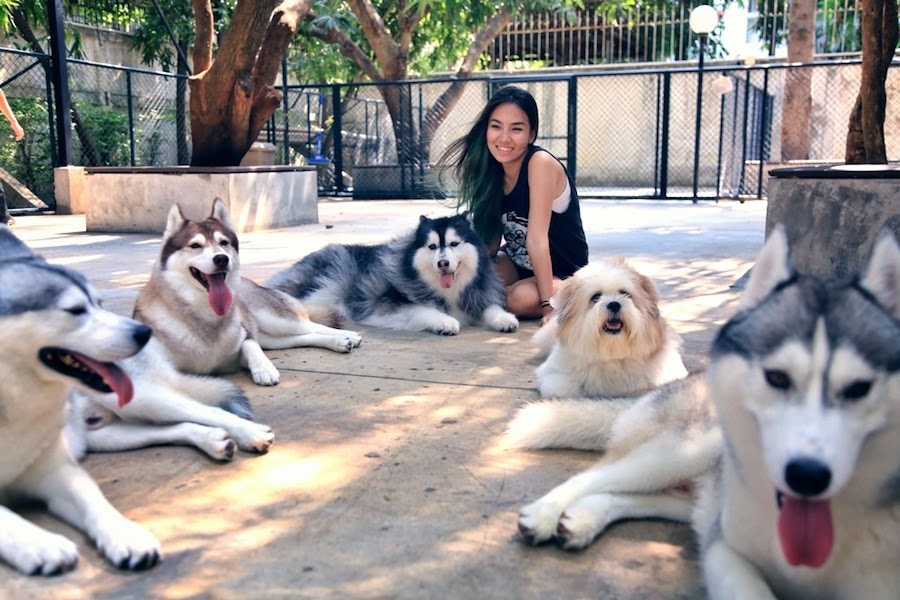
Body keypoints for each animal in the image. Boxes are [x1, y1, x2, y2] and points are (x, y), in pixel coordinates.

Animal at [0, 225, 161, 575]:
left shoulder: (53, 469)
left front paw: (124, 534)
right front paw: (38, 542)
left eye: (98, 302)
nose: (145, 332)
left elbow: (91, 496)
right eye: (75, 310)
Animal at [267, 213, 519, 335]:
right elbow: (421, 309)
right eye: (432, 247)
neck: (447, 291)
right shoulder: (384, 306)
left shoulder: (475, 296)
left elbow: (490, 307)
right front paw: (445, 321)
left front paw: (504, 318)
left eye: (454, 244)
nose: (443, 263)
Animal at [533, 257, 688, 398]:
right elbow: (564, 386)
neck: (611, 351)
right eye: (595, 297)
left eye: (625, 293)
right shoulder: (553, 374)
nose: (614, 304)